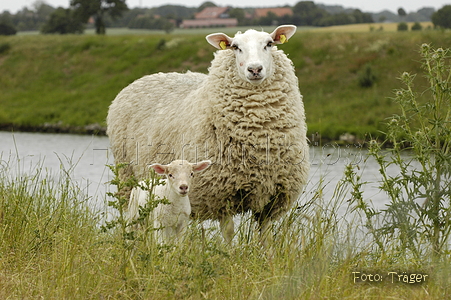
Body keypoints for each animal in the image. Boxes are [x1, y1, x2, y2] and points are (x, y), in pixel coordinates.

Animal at [107, 24, 310, 243]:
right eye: (235, 47)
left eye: (269, 44)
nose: (255, 69)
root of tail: (146, 77)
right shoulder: (221, 194)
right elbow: (228, 232)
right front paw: (229, 252)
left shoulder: (273, 197)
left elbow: (265, 235)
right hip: (127, 178)